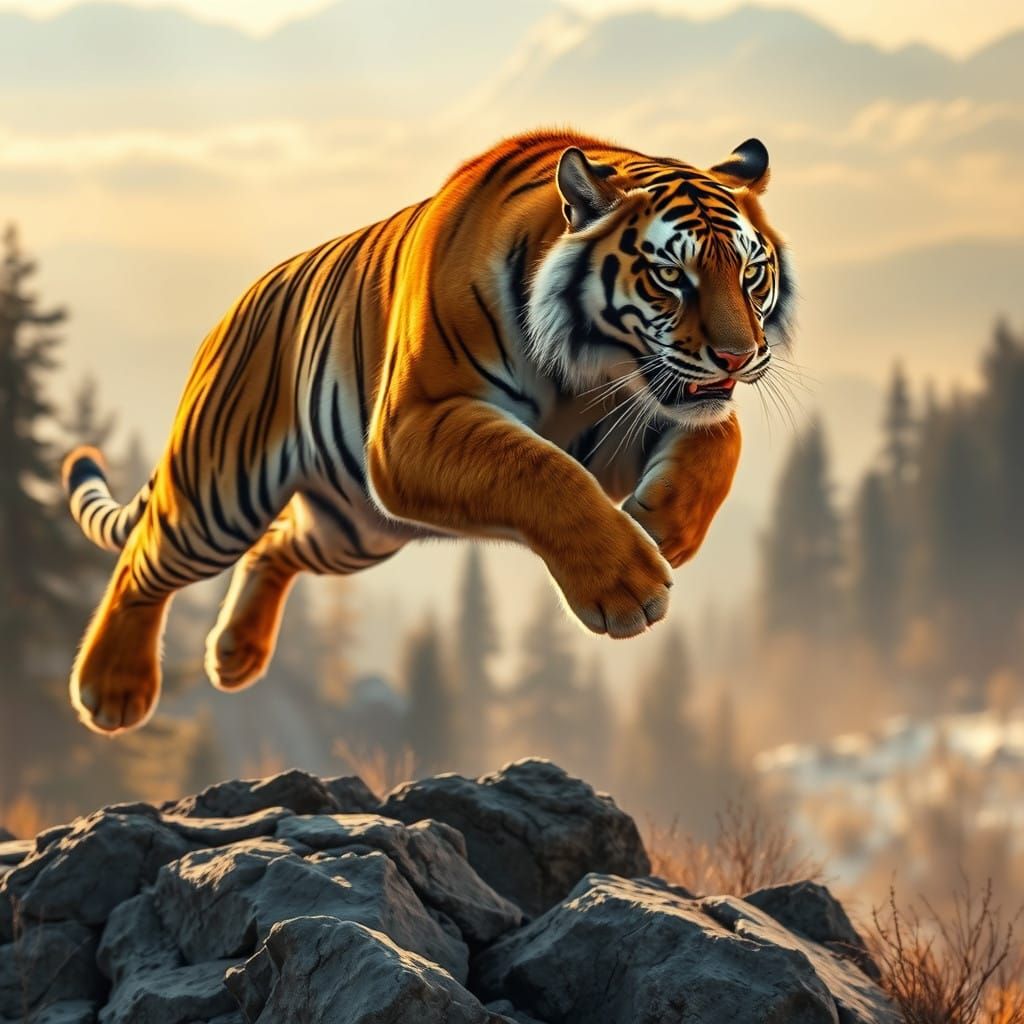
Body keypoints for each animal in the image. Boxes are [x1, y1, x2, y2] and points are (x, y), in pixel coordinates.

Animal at [62, 128, 793, 734]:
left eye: (751, 273)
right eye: (671, 275)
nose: (738, 356)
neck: (585, 368)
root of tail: (230, 311)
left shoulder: (622, 423)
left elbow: (719, 440)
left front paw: (664, 525)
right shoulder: (413, 425)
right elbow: (538, 467)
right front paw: (627, 588)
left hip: (354, 528)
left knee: (274, 545)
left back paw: (236, 654)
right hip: (220, 494)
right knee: (144, 561)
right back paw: (111, 689)